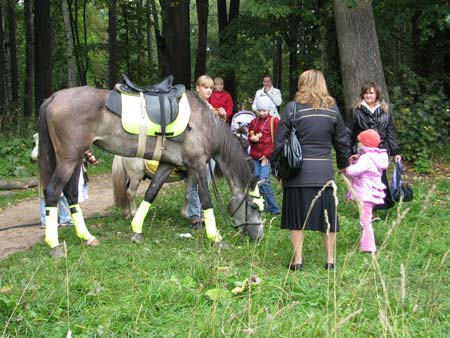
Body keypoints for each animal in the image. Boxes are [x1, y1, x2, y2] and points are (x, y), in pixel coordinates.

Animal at [39, 85, 264, 256]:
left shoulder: (167, 164)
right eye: (254, 206)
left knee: (71, 193)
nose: (260, 236)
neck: (205, 125)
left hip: (76, 159)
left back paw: (87, 237)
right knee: (53, 192)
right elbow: (206, 201)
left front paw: (137, 230)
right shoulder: (198, 166)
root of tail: (54, 97)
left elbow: (151, 193)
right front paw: (216, 237)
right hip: (69, 159)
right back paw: (54, 245)